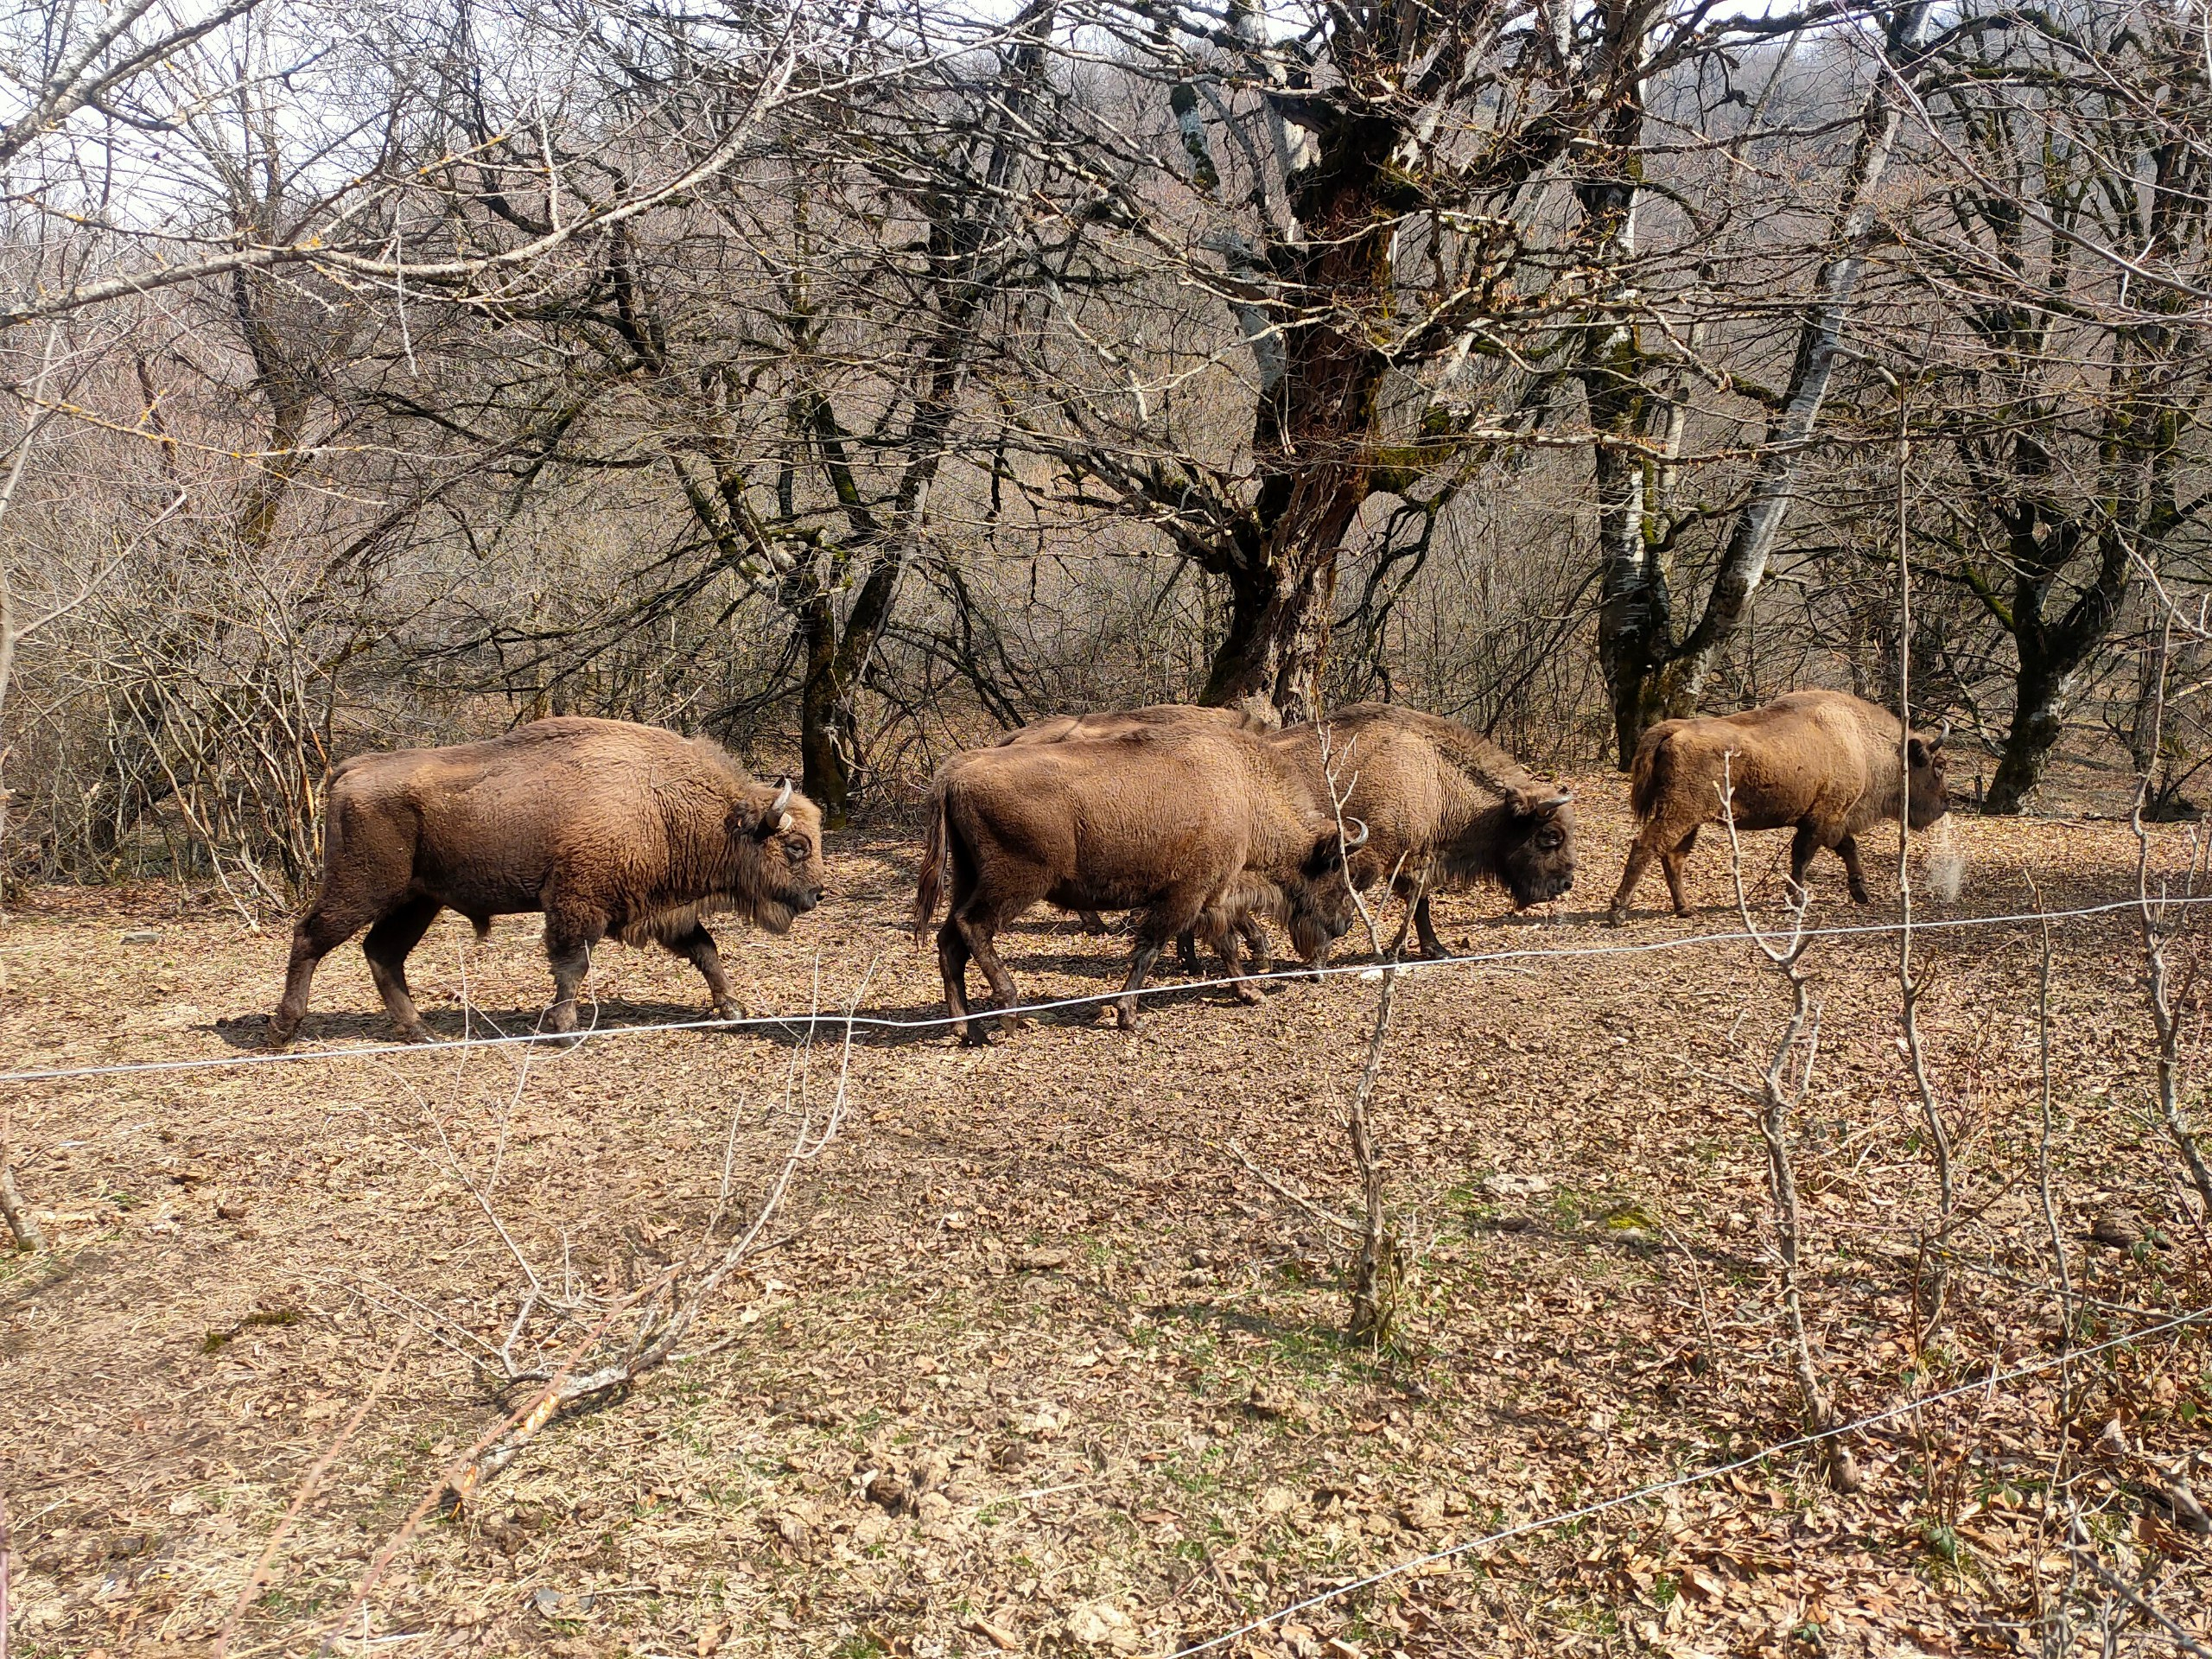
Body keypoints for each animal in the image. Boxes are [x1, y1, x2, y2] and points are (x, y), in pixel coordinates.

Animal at [267, 716, 823, 1052]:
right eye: (797, 847)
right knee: (310, 937)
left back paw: (420, 1031)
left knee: (383, 952)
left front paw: (732, 1007)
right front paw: (562, 1030)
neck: (667, 802)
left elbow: (706, 951)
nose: (817, 894)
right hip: (362, 888)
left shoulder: (663, 913)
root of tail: (349, 770)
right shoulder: (576, 904)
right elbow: (572, 966)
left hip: (416, 901)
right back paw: (283, 1031)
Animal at [915, 725, 1362, 1039]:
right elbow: (1151, 949)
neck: (1244, 795)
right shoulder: (1184, 897)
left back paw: (967, 1030)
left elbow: (1226, 943)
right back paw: (1012, 1014)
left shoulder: (1210, 897)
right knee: (973, 928)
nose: (1346, 922)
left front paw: (1250, 992)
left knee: (950, 939)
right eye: (1335, 870)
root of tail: (953, 773)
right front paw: (1129, 1016)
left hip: (968, 877)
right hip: (1014, 884)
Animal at [1318, 703, 1583, 960]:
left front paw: (1437, 950)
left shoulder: (1414, 860)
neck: (1436, 777)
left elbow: (1419, 902)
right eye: (1551, 835)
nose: (1565, 883)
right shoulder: (1370, 857)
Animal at [1610, 685, 1955, 925]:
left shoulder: (1831, 819)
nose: (1946, 803)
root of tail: (1674, 729)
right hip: (1680, 812)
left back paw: (1685, 908)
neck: (1862, 743)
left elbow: (1846, 847)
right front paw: (1796, 899)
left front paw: (1861, 893)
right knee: (1646, 846)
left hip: (1689, 819)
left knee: (1673, 856)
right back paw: (1619, 912)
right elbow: (1803, 858)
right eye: (1938, 766)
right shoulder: (1822, 818)